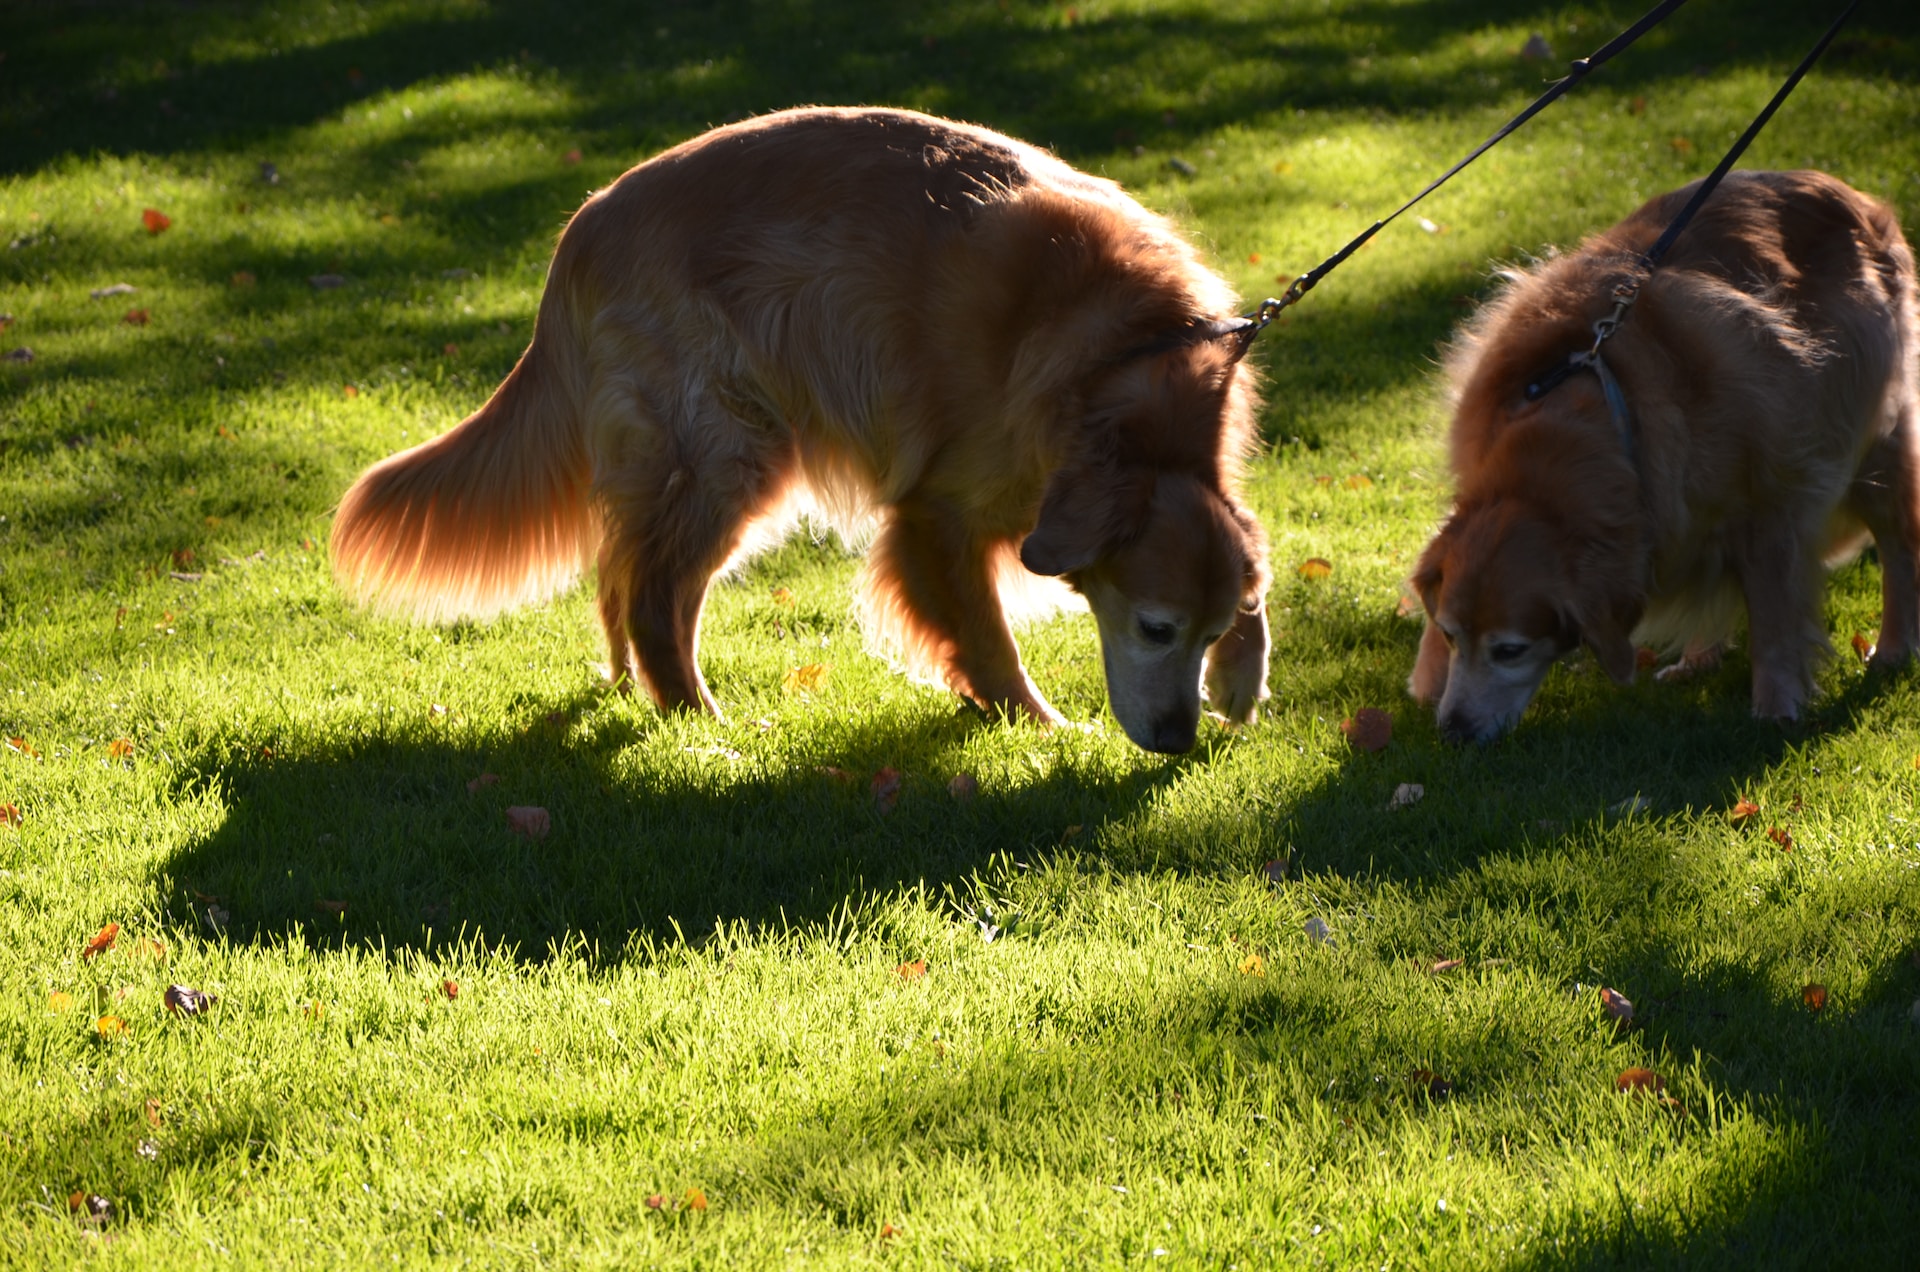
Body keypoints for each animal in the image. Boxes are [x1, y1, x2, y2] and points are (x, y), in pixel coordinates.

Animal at [334, 107, 1274, 757]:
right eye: (1155, 628)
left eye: (1206, 630)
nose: (1179, 741)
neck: (1123, 368)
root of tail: (584, 224)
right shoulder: (937, 513)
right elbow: (987, 637)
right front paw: (1038, 727)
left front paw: (1242, 678)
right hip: (729, 450)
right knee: (653, 595)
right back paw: (700, 724)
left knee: (624, 573)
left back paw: (643, 692)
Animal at [1413, 172, 1920, 741]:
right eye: (1450, 634)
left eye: (1510, 650)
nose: (1453, 731)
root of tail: (1850, 193)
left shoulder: (1771, 505)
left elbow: (1772, 615)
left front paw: (1777, 704)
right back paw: (1699, 657)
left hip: (1874, 440)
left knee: (1900, 548)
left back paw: (1894, 647)